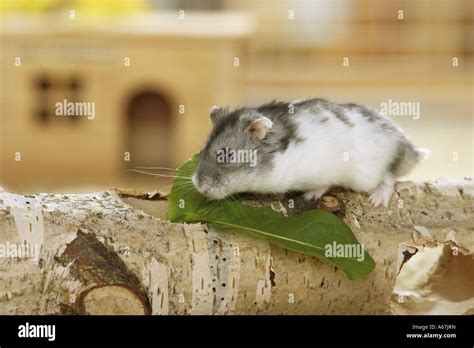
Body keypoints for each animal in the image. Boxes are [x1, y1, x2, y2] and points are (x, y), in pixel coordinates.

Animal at [193, 98, 430, 207]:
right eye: (202, 148)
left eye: (226, 155)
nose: (200, 189)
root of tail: (406, 145)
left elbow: (322, 185)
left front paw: (310, 195)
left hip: (369, 173)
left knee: (389, 177)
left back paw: (377, 199)